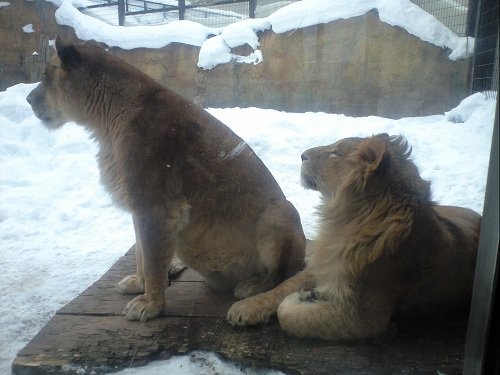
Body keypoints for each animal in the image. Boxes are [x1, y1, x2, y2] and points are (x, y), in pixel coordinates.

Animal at [27, 36, 304, 322]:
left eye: (45, 76)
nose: (28, 99)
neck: (105, 124)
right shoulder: (138, 208)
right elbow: (141, 253)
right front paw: (138, 284)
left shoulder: (157, 207)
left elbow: (151, 258)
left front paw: (150, 304)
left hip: (281, 211)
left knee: (282, 274)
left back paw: (251, 287)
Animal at [229, 134, 482, 340]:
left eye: (335, 152)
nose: (302, 155)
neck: (345, 224)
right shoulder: (324, 265)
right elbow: (283, 287)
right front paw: (244, 308)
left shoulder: (363, 318)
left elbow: (289, 315)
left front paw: (304, 297)